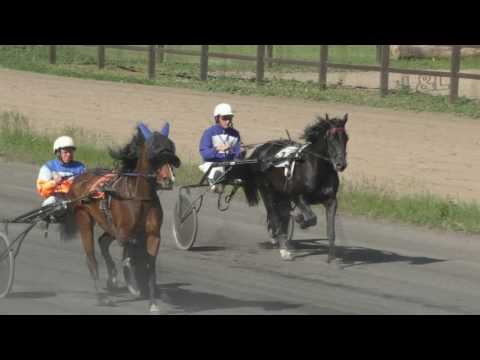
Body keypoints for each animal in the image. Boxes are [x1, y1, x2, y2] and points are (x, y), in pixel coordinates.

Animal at [66, 124, 181, 312]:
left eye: (171, 149)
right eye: (154, 150)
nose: (168, 179)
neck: (138, 197)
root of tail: (79, 178)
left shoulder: (153, 235)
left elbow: (150, 263)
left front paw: (153, 302)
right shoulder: (123, 232)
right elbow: (132, 248)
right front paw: (131, 275)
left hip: (107, 223)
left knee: (103, 241)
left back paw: (112, 277)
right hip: (84, 218)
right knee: (91, 258)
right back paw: (101, 296)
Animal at [242, 115, 346, 264]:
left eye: (346, 138)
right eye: (331, 138)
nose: (341, 164)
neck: (316, 168)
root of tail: (262, 149)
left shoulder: (331, 200)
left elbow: (331, 230)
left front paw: (331, 256)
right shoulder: (298, 196)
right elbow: (311, 219)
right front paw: (299, 219)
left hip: (281, 193)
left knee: (281, 216)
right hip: (267, 191)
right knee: (275, 216)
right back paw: (284, 250)